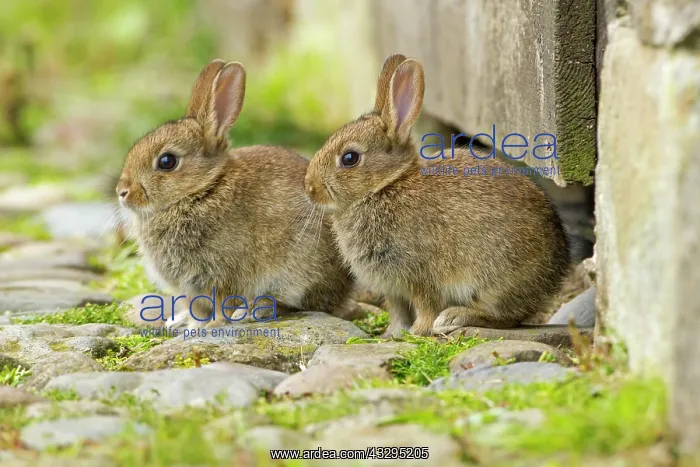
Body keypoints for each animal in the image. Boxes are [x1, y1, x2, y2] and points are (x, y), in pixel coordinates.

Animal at [116, 59, 353, 328]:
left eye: (167, 161)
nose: (122, 192)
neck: (203, 189)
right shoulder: (191, 288)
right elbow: (195, 306)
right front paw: (183, 322)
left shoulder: (221, 275)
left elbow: (222, 303)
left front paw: (212, 325)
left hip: (299, 274)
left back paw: (253, 311)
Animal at [304, 54, 570, 338]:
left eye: (349, 158)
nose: (310, 189)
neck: (385, 186)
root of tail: (556, 273)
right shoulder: (392, 288)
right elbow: (398, 311)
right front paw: (391, 335)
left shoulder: (419, 275)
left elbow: (426, 305)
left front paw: (419, 331)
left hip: (493, 280)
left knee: (505, 317)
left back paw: (454, 317)